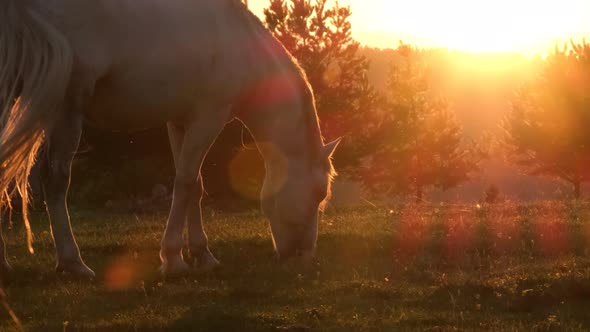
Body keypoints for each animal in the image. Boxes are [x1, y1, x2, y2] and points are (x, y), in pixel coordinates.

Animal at [0, 0, 340, 280]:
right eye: (319, 193)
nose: (304, 255)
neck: (237, 41)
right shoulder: (208, 117)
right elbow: (186, 182)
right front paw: (174, 258)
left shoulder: (180, 121)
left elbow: (196, 184)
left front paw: (202, 255)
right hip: (67, 107)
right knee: (55, 179)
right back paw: (73, 263)